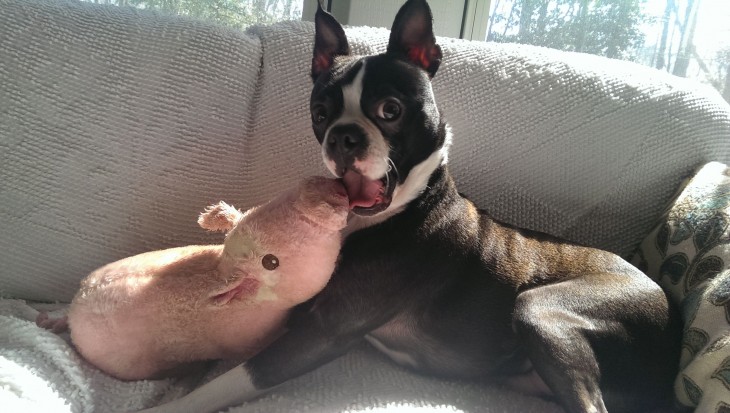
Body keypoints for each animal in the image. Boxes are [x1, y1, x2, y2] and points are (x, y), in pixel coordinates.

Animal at [139, 0, 680, 412]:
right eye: (320, 114)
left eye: (390, 110)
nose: (344, 136)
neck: (396, 210)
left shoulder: (326, 331)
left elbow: (234, 379)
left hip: (541, 310)